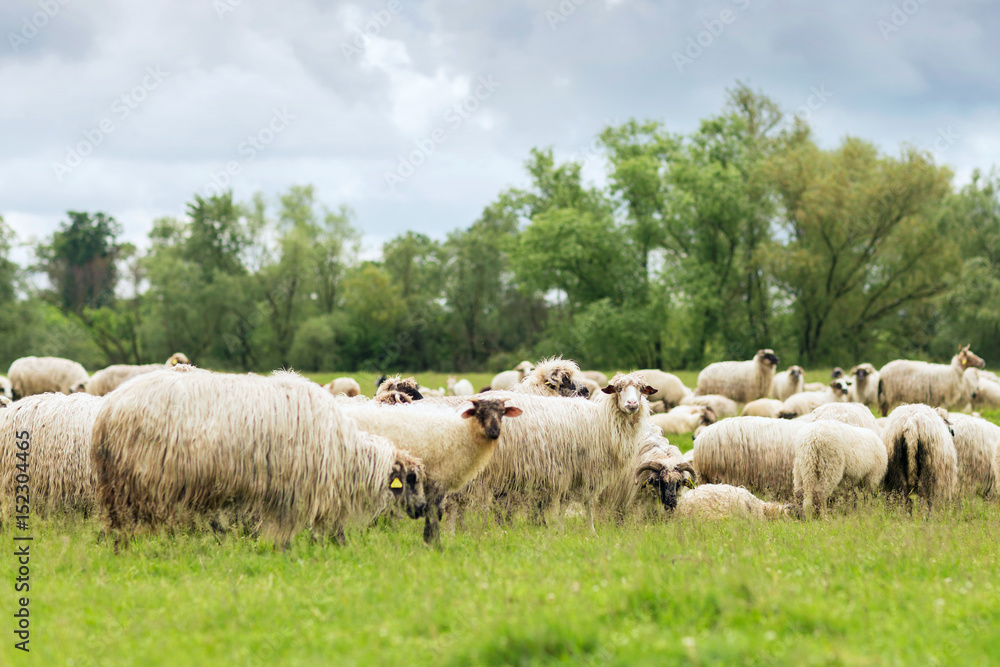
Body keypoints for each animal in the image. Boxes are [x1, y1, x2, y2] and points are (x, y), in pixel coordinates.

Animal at [89, 370, 426, 548]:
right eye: (411, 479)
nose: (422, 509)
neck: (343, 450)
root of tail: (108, 410)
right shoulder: (297, 485)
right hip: (140, 480)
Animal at [336, 396, 524, 544]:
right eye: (480, 413)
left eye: (502, 413)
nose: (495, 432)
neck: (464, 433)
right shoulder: (438, 476)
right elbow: (434, 511)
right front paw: (432, 541)